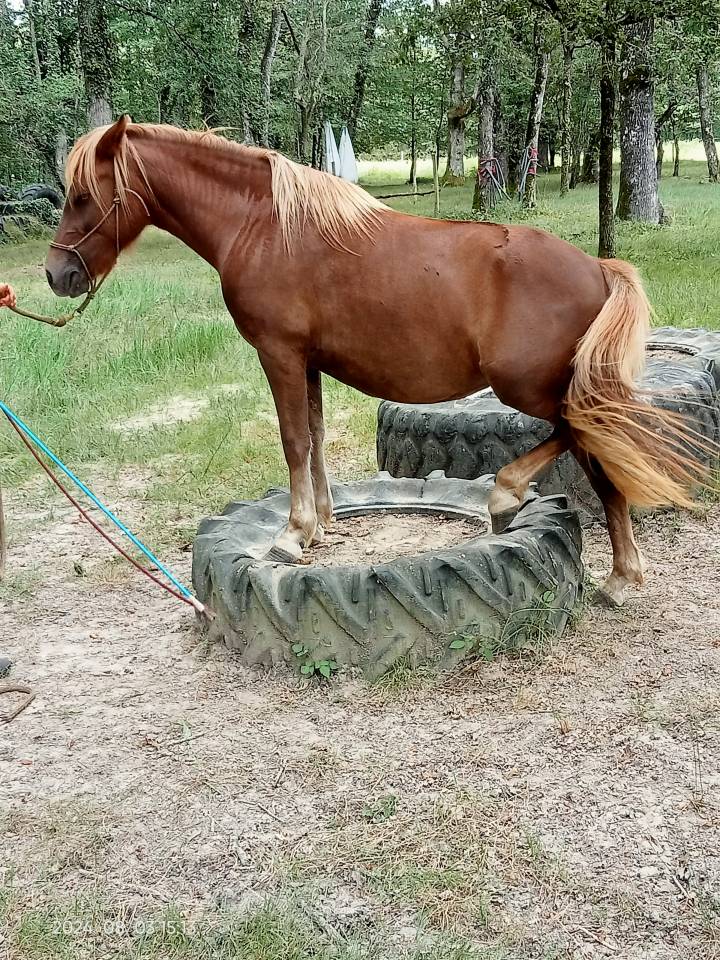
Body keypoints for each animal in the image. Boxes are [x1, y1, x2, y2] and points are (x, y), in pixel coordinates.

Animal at [44, 116, 702, 606]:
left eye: (82, 196)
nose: (57, 274)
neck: (264, 225)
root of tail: (598, 268)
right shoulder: (306, 361)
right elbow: (314, 434)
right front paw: (322, 522)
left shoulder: (279, 355)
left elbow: (293, 440)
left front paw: (291, 534)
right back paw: (617, 572)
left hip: (534, 389)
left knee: (583, 439)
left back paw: (515, 501)